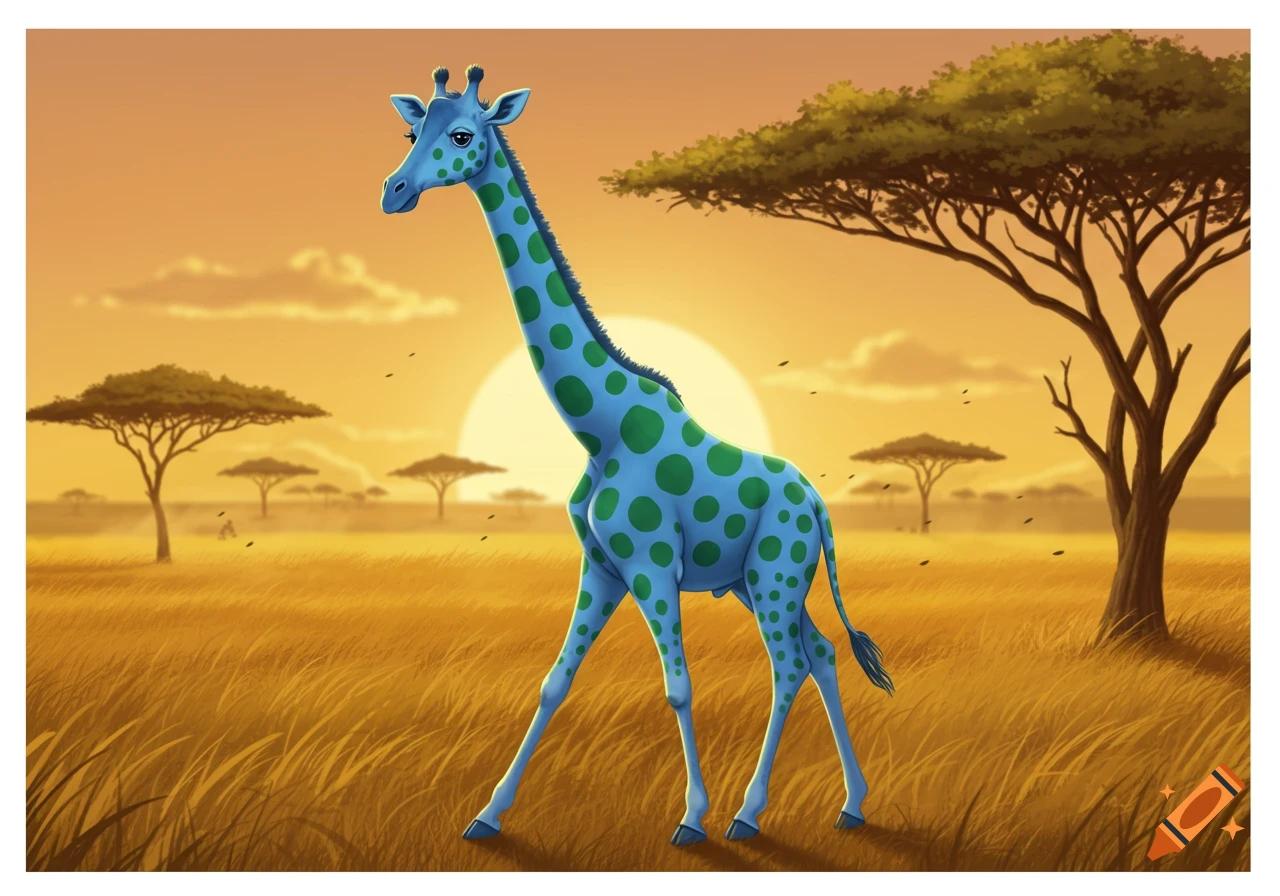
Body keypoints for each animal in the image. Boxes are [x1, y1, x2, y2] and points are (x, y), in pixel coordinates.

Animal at [379, 65, 894, 847]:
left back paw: (747, 814)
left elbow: (678, 687)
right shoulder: (601, 564)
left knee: (789, 667)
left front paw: (690, 817)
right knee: (825, 654)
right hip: (760, 580)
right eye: (413, 129)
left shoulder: (652, 565)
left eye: (463, 134)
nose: (396, 190)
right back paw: (852, 803)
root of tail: (818, 504)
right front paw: (488, 815)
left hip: (775, 573)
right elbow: (553, 682)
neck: (602, 427)